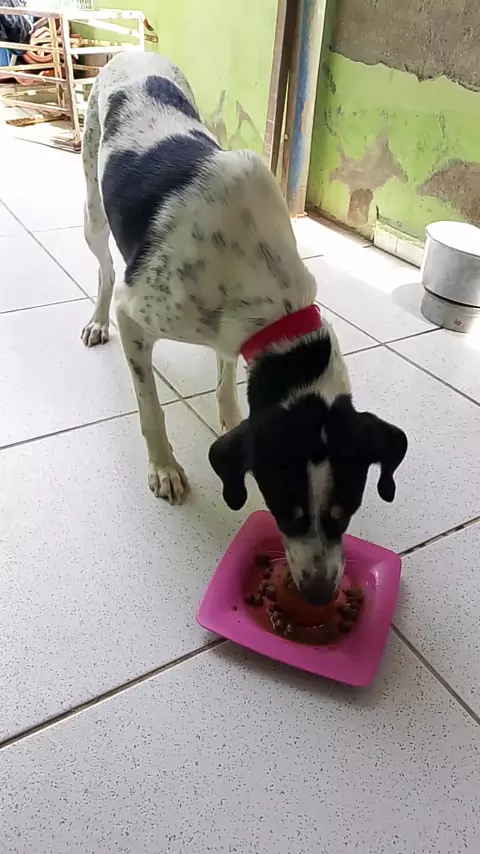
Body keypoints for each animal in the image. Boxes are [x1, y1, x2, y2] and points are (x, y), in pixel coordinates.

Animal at [81, 52, 407, 606]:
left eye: (346, 512)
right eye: (284, 510)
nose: (319, 595)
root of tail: (132, 52)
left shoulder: (233, 331)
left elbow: (226, 376)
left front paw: (230, 418)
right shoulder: (138, 316)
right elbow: (151, 409)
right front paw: (164, 466)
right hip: (93, 212)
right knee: (104, 269)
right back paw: (96, 320)